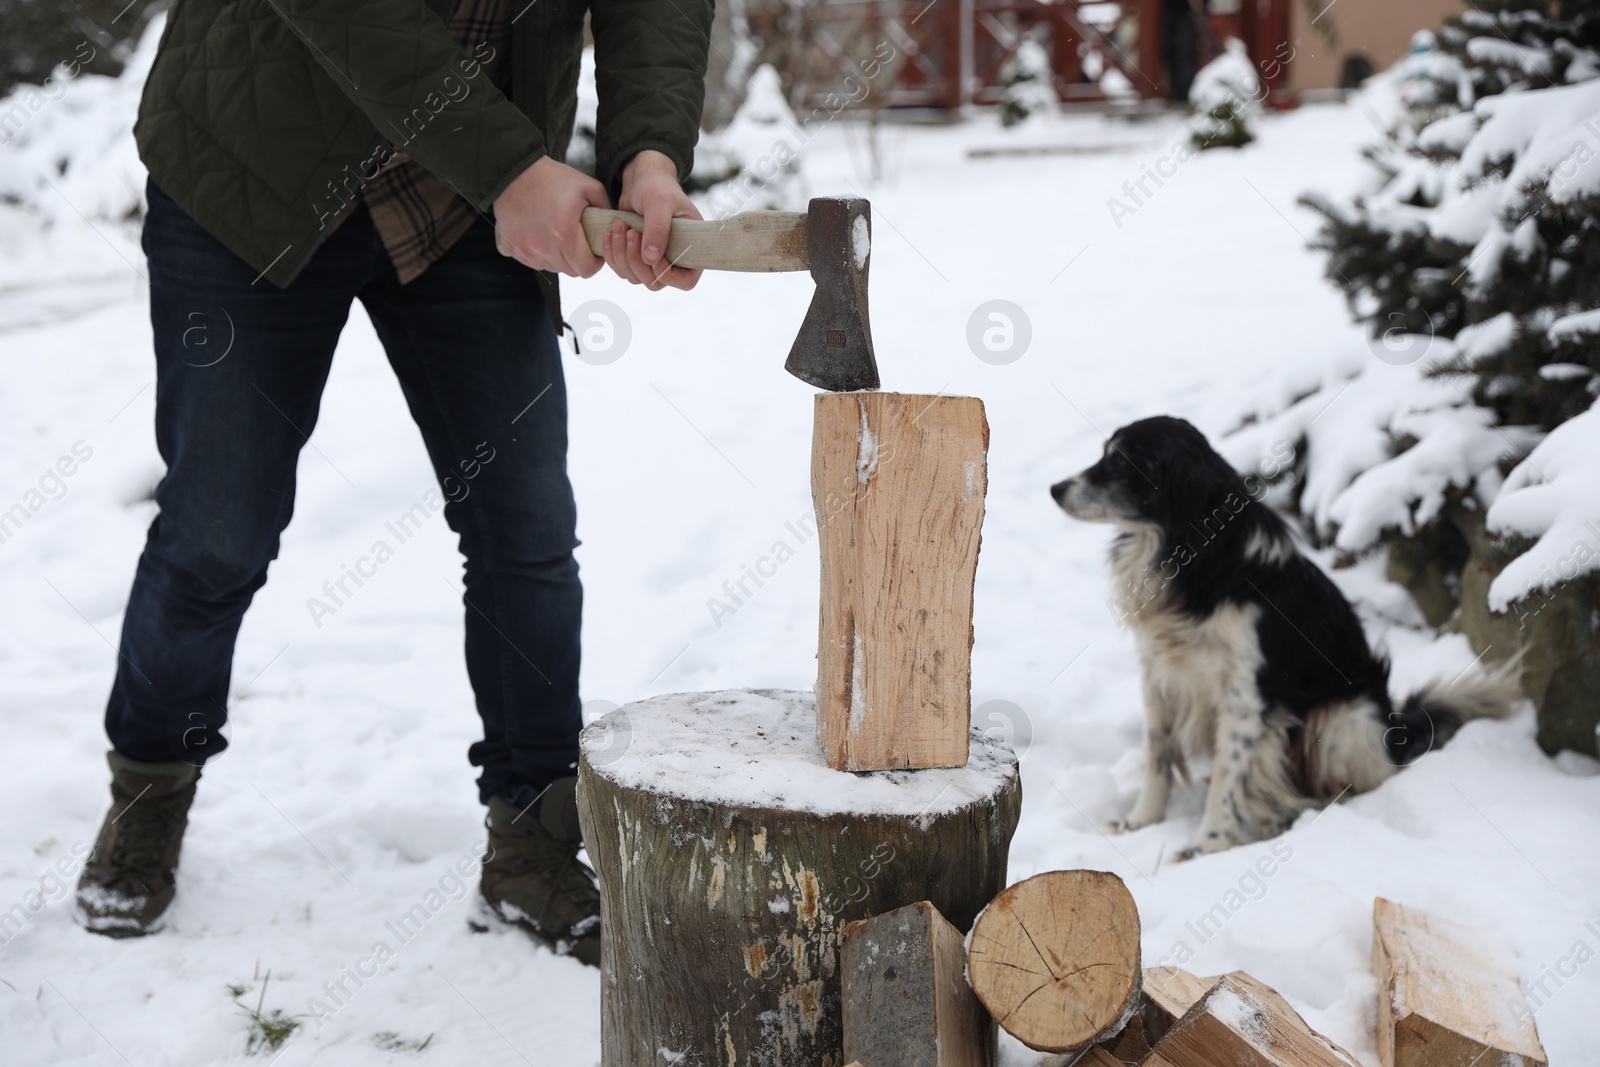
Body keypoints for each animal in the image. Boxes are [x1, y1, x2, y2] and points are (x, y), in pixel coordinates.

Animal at [1056, 415, 1516, 857]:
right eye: (1105, 454)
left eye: (1122, 464)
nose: (1054, 488)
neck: (1193, 558)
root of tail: (1397, 733)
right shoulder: (1158, 674)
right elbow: (1159, 755)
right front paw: (1142, 821)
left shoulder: (1244, 695)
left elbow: (1228, 775)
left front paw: (1208, 843)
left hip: (1340, 717)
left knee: (1359, 781)